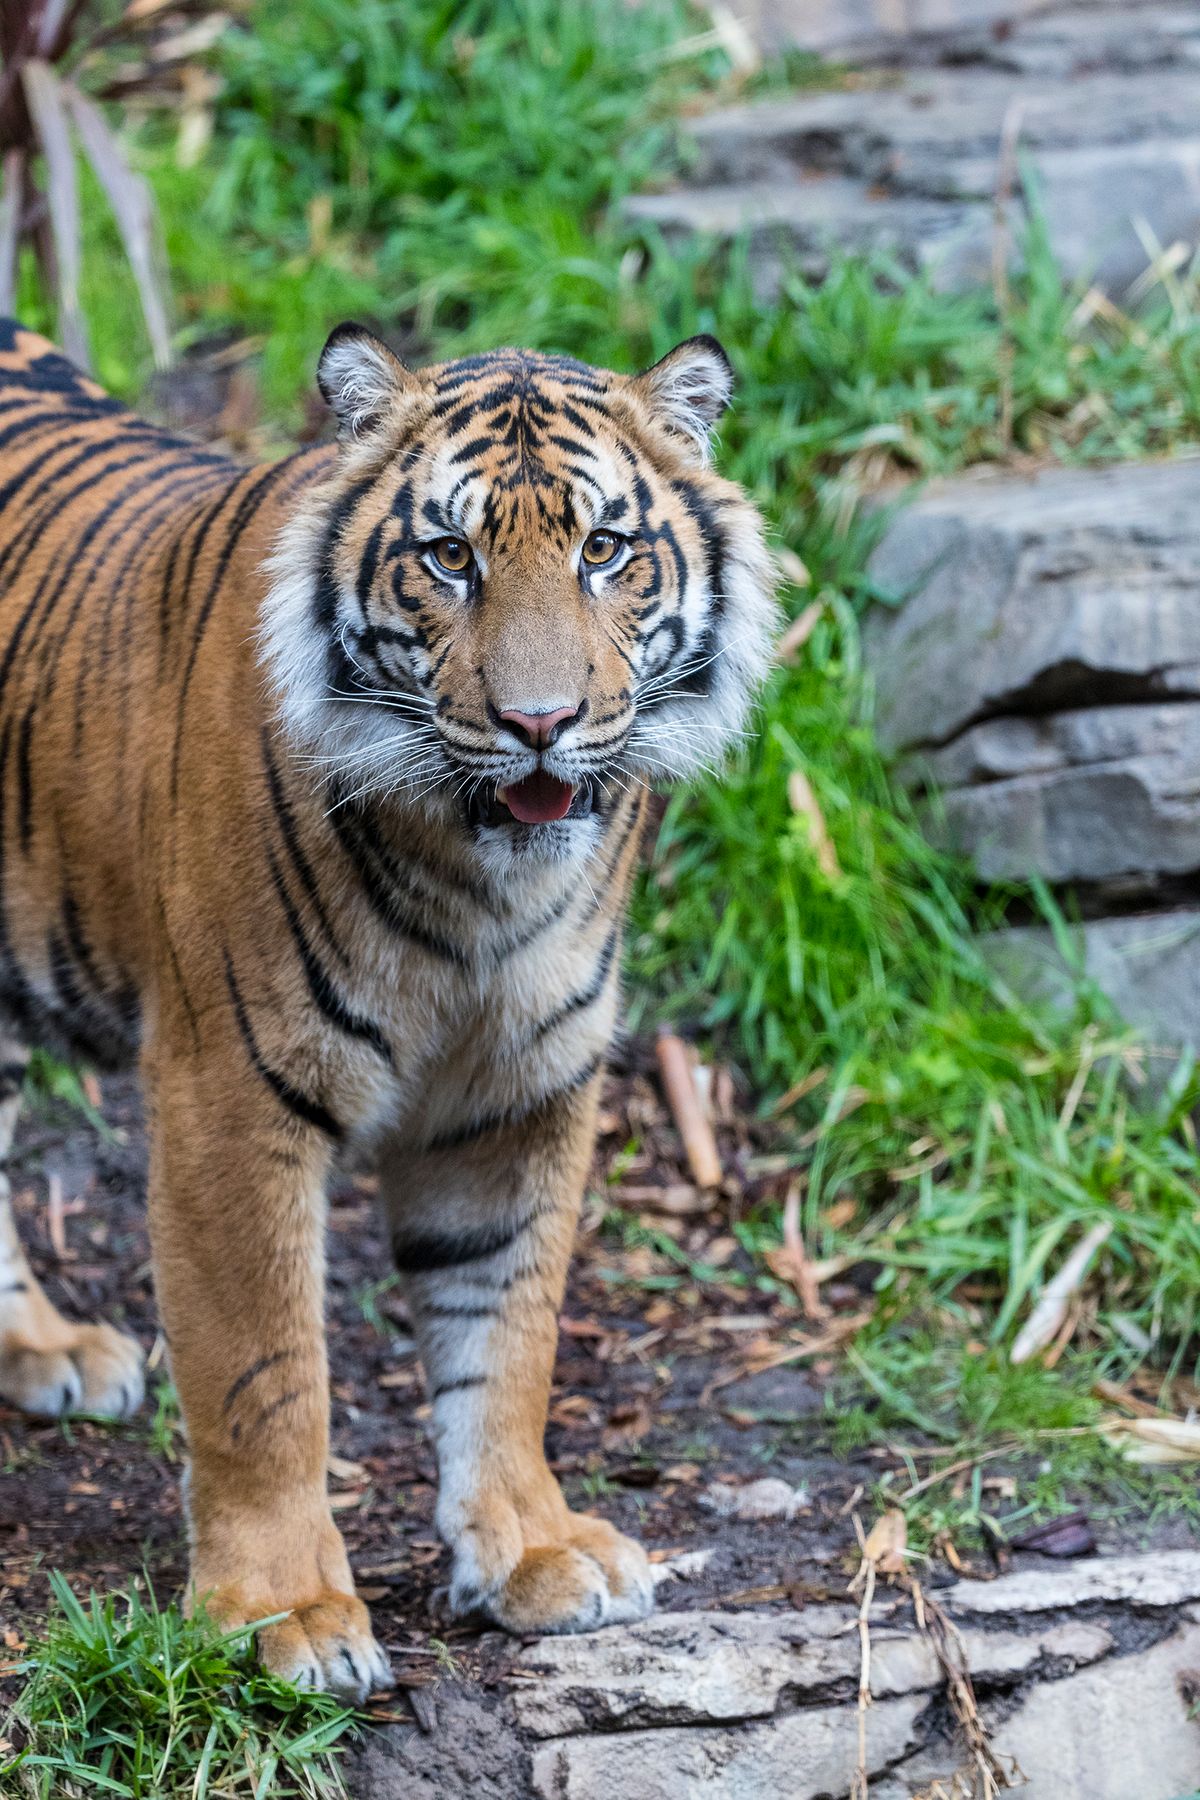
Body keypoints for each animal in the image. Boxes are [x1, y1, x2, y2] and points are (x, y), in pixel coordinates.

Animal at [0, 316, 773, 1692]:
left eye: (604, 549)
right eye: (450, 557)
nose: (539, 723)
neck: (481, 883)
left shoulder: (518, 1096)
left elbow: (507, 1337)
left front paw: (532, 1548)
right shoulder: (230, 1096)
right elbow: (262, 1373)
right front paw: (284, 1615)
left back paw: (43, 1350)